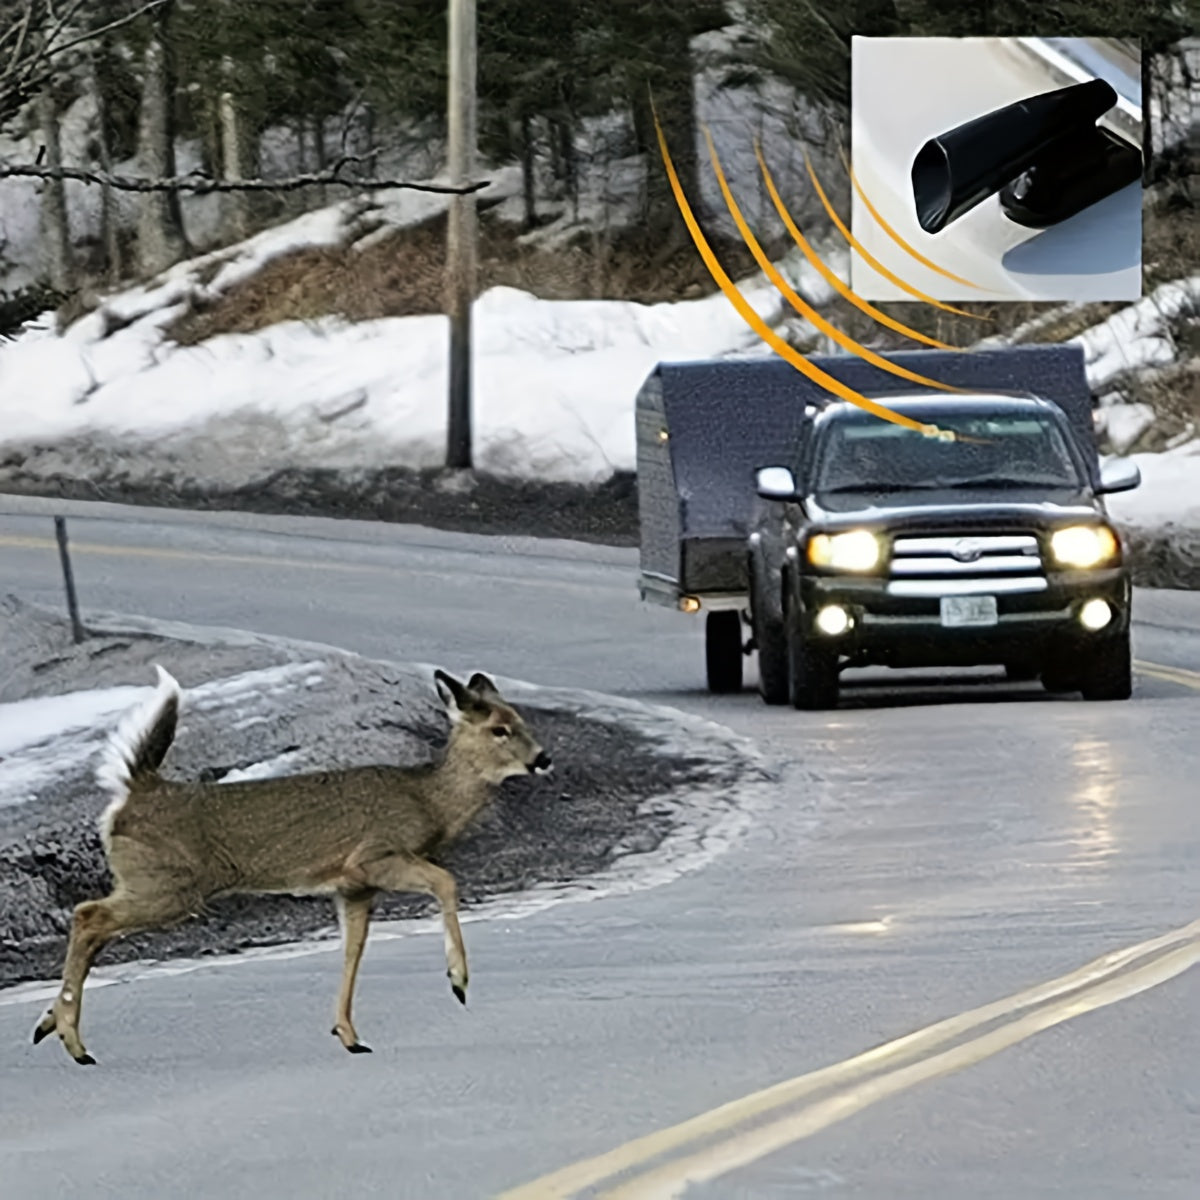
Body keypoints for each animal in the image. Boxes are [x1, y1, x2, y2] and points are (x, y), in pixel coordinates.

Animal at [31, 664, 552, 1065]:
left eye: (522, 721)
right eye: (499, 729)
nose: (543, 758)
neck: (430, 803)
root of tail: (136, 791)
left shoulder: (353, 887)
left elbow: (353, 949)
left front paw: (348, 1034)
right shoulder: (375, 855)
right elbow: (446, 881)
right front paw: (458, 981)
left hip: (154, 883)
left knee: (95, 926)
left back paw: (49, 1025)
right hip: (170, 884)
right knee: (87, 915)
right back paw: (73, 1042)